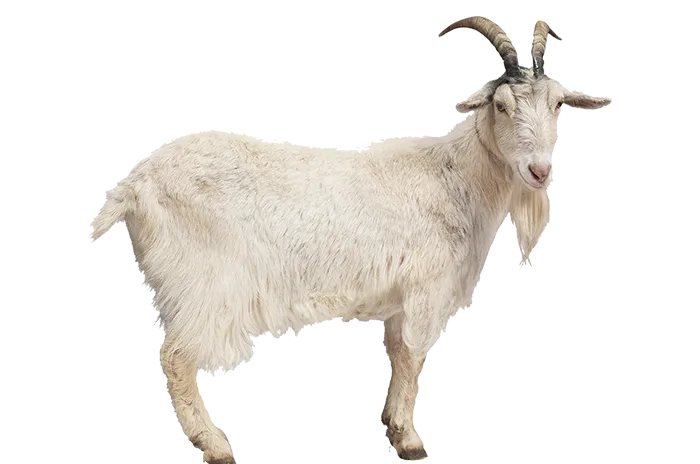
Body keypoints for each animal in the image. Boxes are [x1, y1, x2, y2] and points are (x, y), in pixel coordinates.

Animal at [91, 16, 611, 463]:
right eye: (501, 106)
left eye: (558, 104)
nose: (539, 170)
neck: (456, 176)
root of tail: (136, 184)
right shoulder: (425, 289)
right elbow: (414, 356)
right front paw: (412, 442)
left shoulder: (400, 298)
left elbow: (398, 354)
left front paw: (394, 429)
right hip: (204, 283)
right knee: (177, 359)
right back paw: (216, 446)